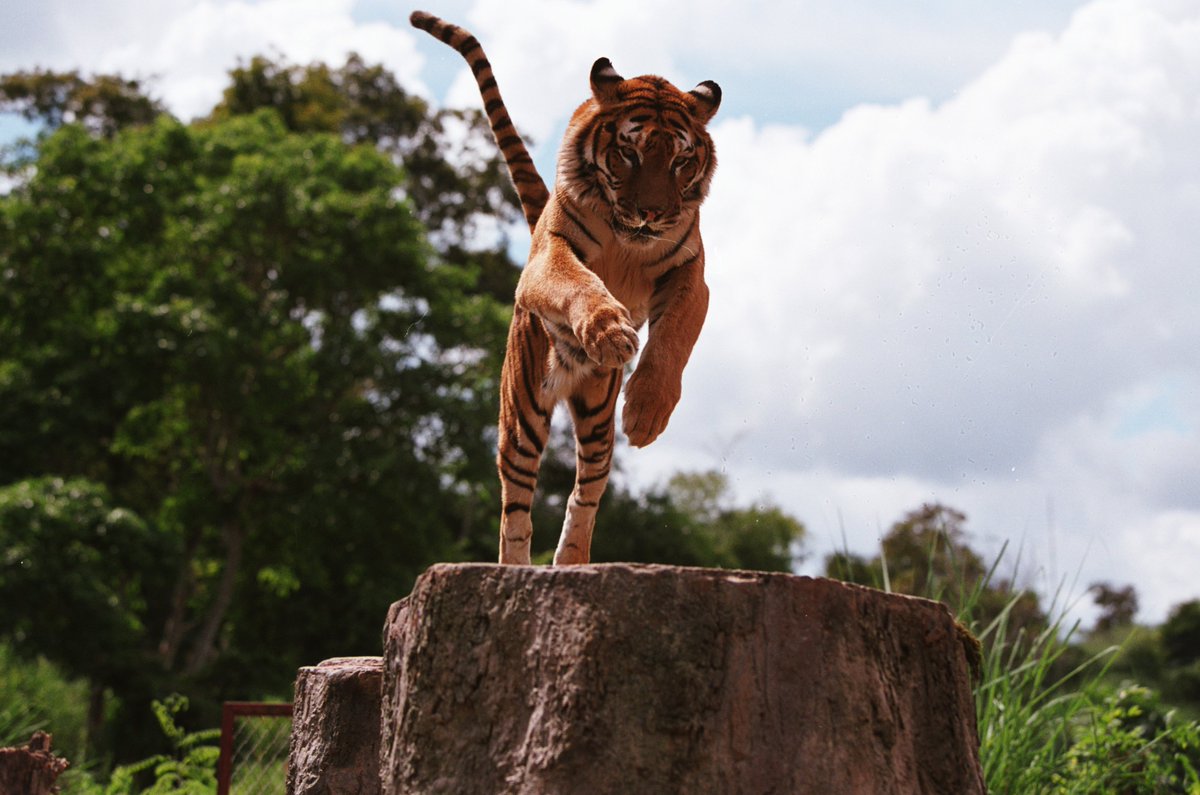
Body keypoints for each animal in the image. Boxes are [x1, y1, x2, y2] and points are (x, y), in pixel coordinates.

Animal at [412, 10, 715, 566]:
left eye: (681, 161)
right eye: (629, 153)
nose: (653, 212)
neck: (627, 240)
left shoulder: (690, 273)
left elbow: (673, 340)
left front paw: (647, 411)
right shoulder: (549, 255)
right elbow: (578, 283)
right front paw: (609, 332)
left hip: (596, 417)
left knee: (585, 491)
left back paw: (572, 559)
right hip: (522, 413)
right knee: (515, 507)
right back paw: (515, 570)